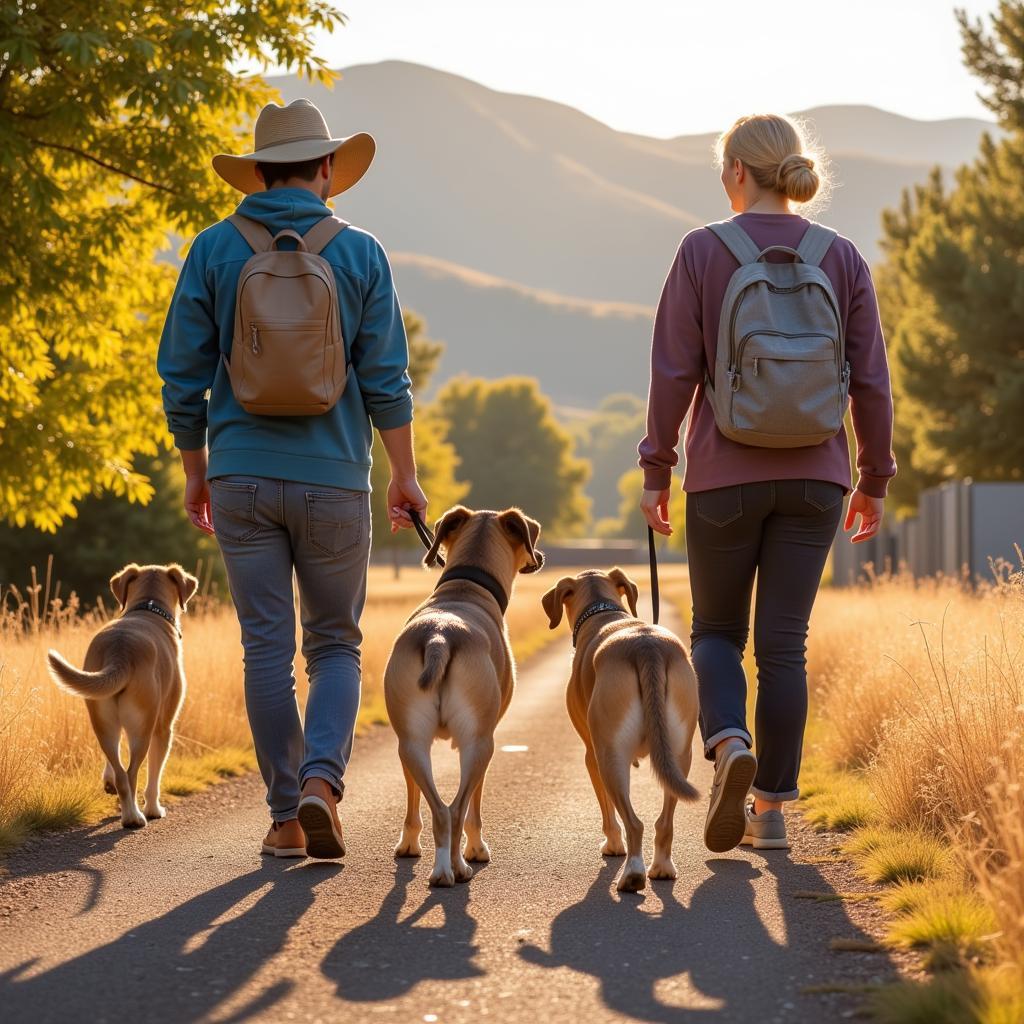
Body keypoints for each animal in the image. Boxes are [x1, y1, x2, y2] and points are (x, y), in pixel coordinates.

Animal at [46, 565, 197, 827]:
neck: (148, 606)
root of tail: (121, 651)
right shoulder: (163, 728)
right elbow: (155, 775)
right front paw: (154, 809)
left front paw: (108, 783)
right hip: (143, 728)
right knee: (131, 773)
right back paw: (134, 817)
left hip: (102, 717)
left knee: (118, 770)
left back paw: (123, 802)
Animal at [385, 505, 544, 888]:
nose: (541, 556)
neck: (466, 586)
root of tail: (440, 635)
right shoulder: (484, 739)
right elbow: (475, 804)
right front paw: (477, 848)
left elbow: (413, 799)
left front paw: (408, 844)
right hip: (479, 744)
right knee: (456, 809)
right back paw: (457, 867)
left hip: (410, 743)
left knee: (439, 809)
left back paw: (441, 868)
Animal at [540, 573, 700, 892]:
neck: (602, 610)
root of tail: (646, 647)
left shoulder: (591, 756)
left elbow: (606, 811)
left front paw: (613, 845)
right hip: (679, 754)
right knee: (664, 822)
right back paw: (661, 867)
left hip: (609, 757)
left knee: (634, 823)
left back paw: (633, 872)